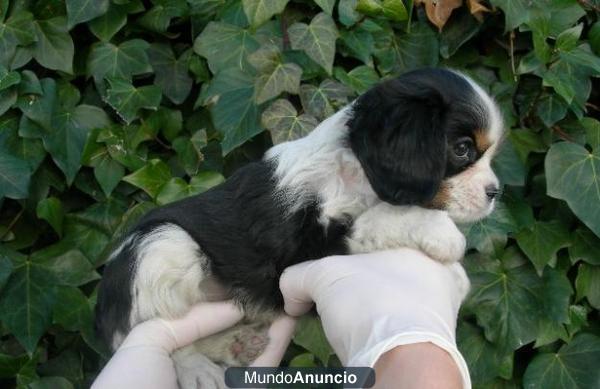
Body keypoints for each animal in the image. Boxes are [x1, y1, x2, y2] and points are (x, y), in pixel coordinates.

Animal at [96, 68, 504, 386]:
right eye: (463, 149)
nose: (495, 192)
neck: (353, 172)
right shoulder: (303, 246)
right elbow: (382, 218)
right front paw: (444, 236)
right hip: (163, 244)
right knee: (152, 329)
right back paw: (198, 368)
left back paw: (236, 344)